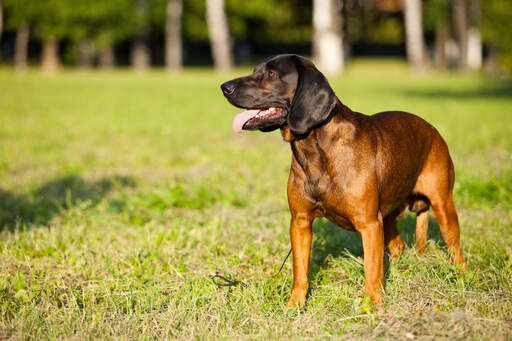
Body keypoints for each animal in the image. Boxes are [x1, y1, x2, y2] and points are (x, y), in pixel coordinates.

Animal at [219, 55, 464, 306]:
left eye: (271, 75)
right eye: (255, 70)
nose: (225, 87)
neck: (316, 150)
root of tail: (432, 129)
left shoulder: (369, 224)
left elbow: (371, 271)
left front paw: (375, 306)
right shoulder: (300, 223)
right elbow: (300, 271)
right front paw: (294, 305)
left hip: (443, 206)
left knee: (455, 248)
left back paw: (461, 276)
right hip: (389, 214)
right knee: (398, 245)